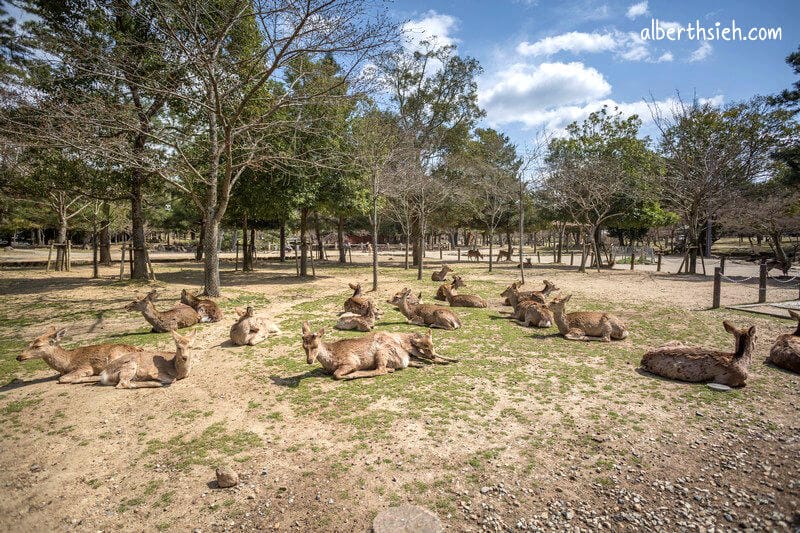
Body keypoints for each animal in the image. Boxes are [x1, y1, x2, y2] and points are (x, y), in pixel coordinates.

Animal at [301, 323, 454, 380]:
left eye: (315, 345)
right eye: (303, 346)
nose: (309, 361)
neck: (329, 361)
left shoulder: (350, 361)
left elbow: (336, 374)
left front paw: (348, 374)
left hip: (381, 353)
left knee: (380, 370)